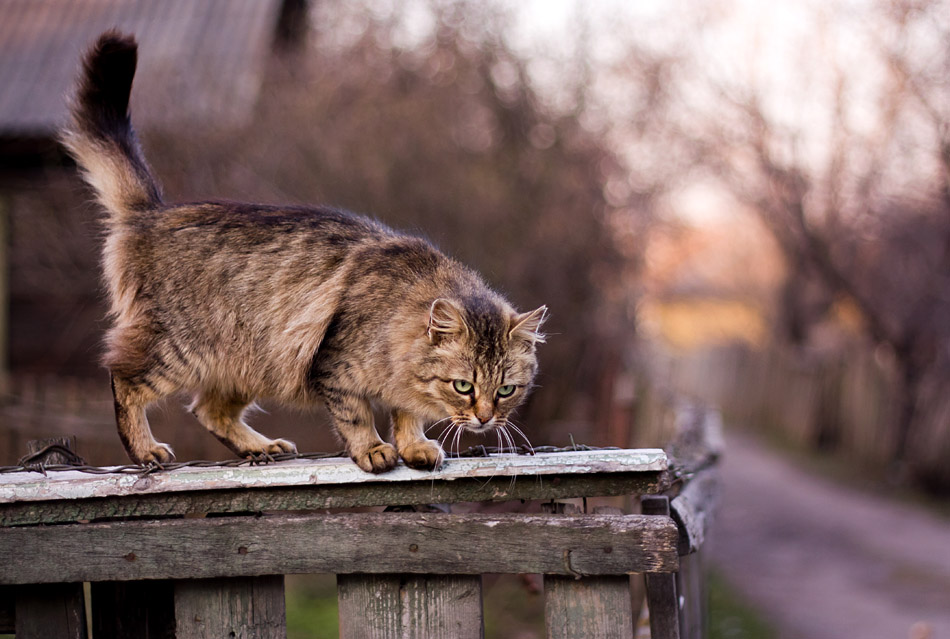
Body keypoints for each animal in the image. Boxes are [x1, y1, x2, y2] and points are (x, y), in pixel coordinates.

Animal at [61, 32, 552, 476]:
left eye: (506, 390)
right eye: (463, 386)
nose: (485, 419)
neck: (398, 314)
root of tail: (153, 212)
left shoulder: (397, 380)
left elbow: (406, 412)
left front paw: (415, 446)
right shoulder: (335, 365)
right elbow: (356, 415)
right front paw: (374, 450)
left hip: (247, 360)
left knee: (209, 409)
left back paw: (261, 448)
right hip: (178, 349)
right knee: (124, 379)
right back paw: (145, 450)